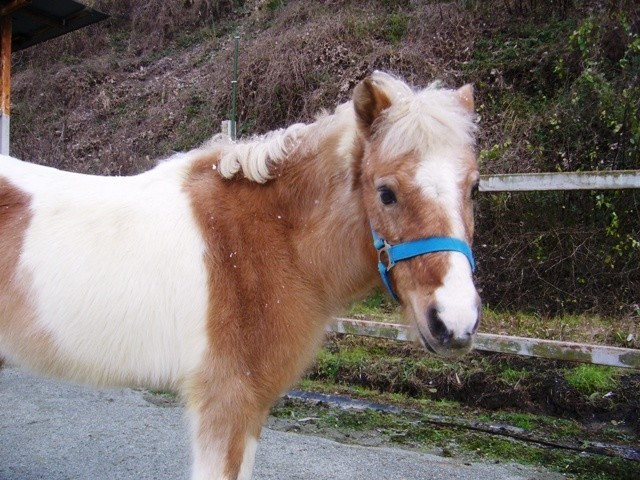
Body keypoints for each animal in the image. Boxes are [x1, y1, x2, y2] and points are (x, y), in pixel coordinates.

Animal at [0, 71, 480, 480]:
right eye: (385, 193)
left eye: (473, 187)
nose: (454, 321)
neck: (265, 238)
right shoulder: (227, 404)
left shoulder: (249, 411)